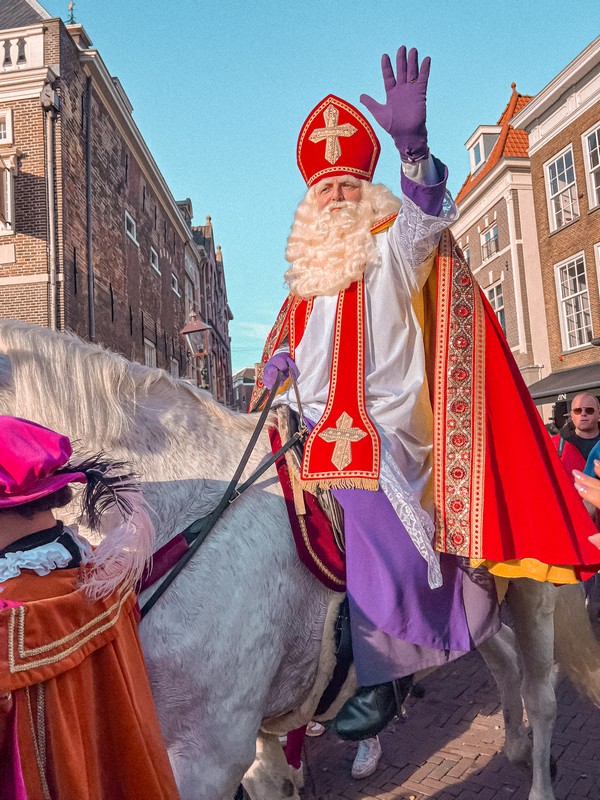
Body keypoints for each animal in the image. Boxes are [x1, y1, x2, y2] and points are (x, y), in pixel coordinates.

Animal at [1, 318, 600, 800]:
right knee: (503, 661)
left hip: (534, 595)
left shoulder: (208, 753)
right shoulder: (244, 741)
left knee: (541, 692)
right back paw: (514, 745)